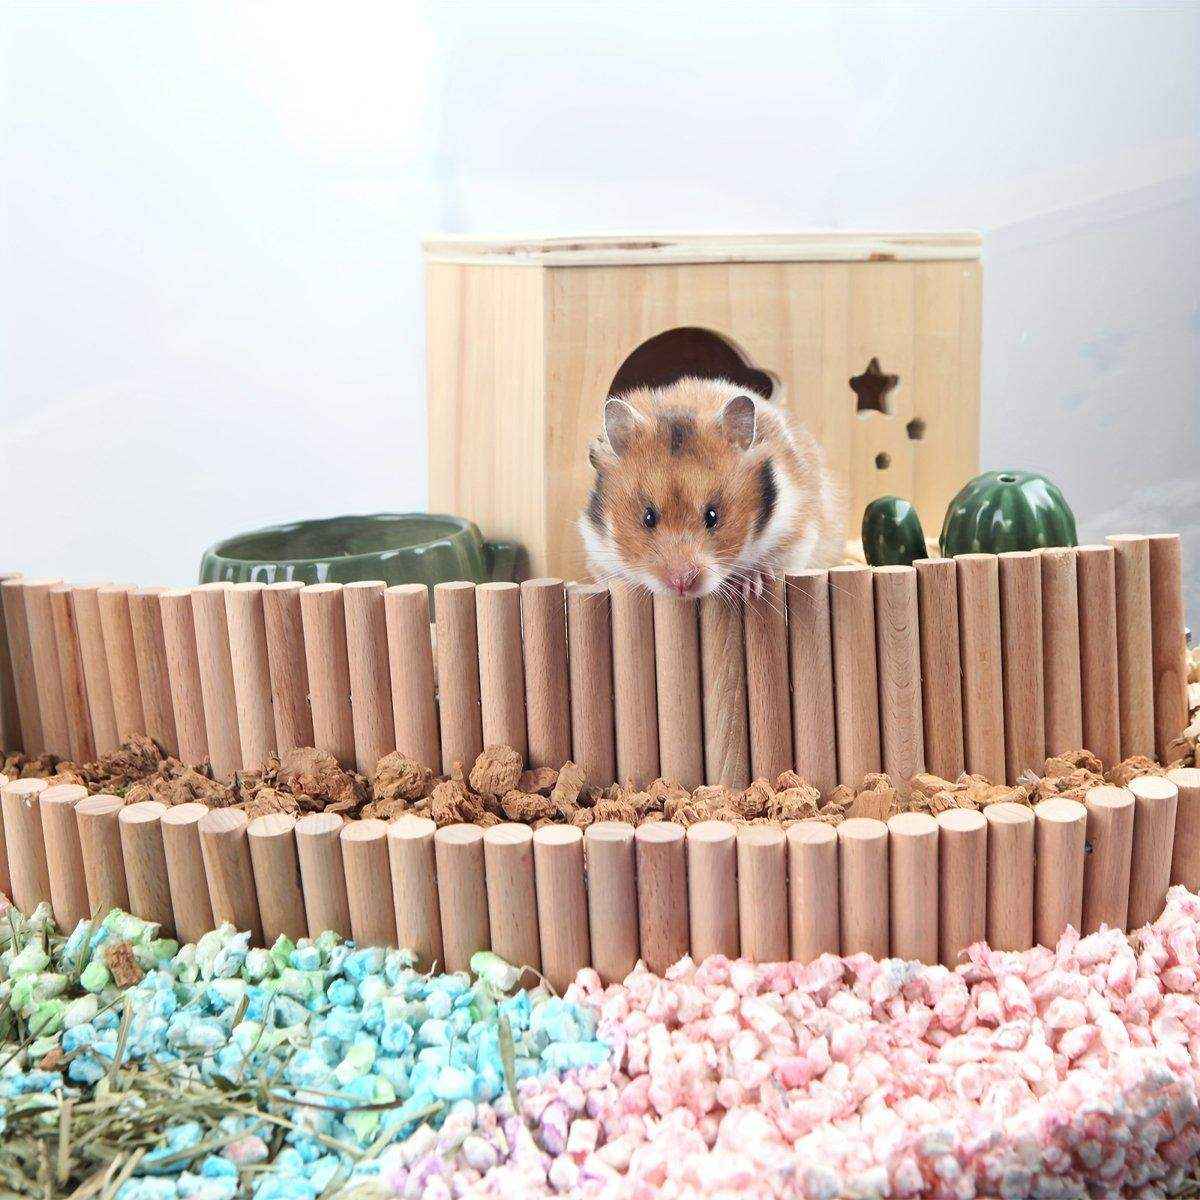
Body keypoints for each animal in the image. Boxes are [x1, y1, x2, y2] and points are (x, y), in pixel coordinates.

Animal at [580, 375, 843, 600]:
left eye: (712, 516)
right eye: (648, 517)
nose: (682, 584)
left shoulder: (798, 532)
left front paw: (752, 585)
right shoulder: (595, 548)